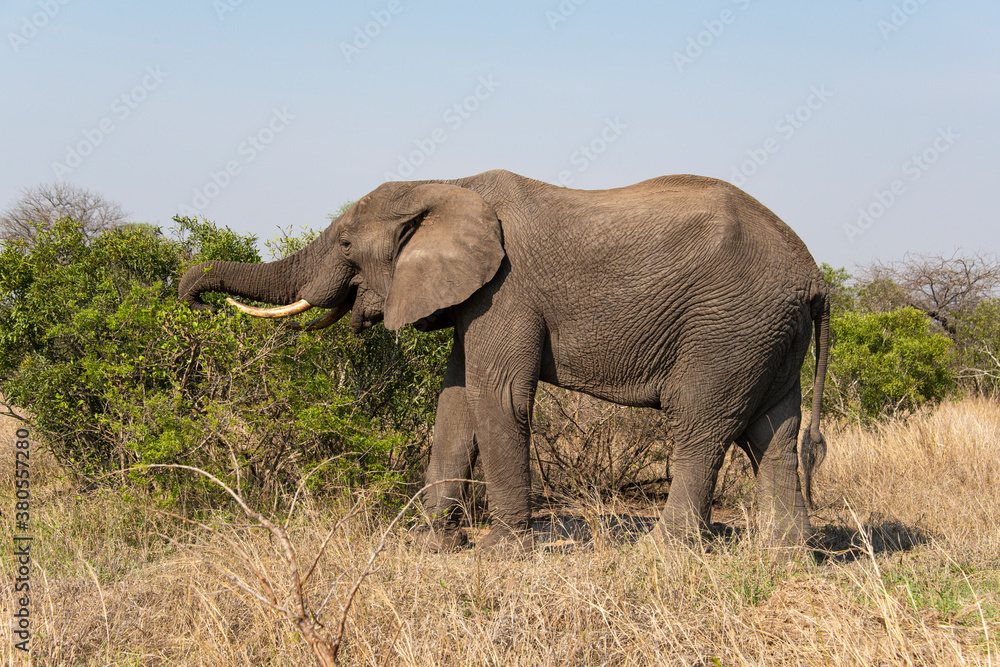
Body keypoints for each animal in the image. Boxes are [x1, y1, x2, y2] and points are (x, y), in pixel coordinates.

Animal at [180, 171, 828, 552]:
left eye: (344, 244)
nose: (192, 297)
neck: (447, 183)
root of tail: (815, 277)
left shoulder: (506, 289)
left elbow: (497, 396)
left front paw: (501, 552)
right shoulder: (473, 294)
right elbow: (455, 403)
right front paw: (429, 545)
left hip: (728, 329)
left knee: (701, 428)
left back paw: (662, 555)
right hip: (767, 335)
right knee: (774, 432)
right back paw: (783, 557)